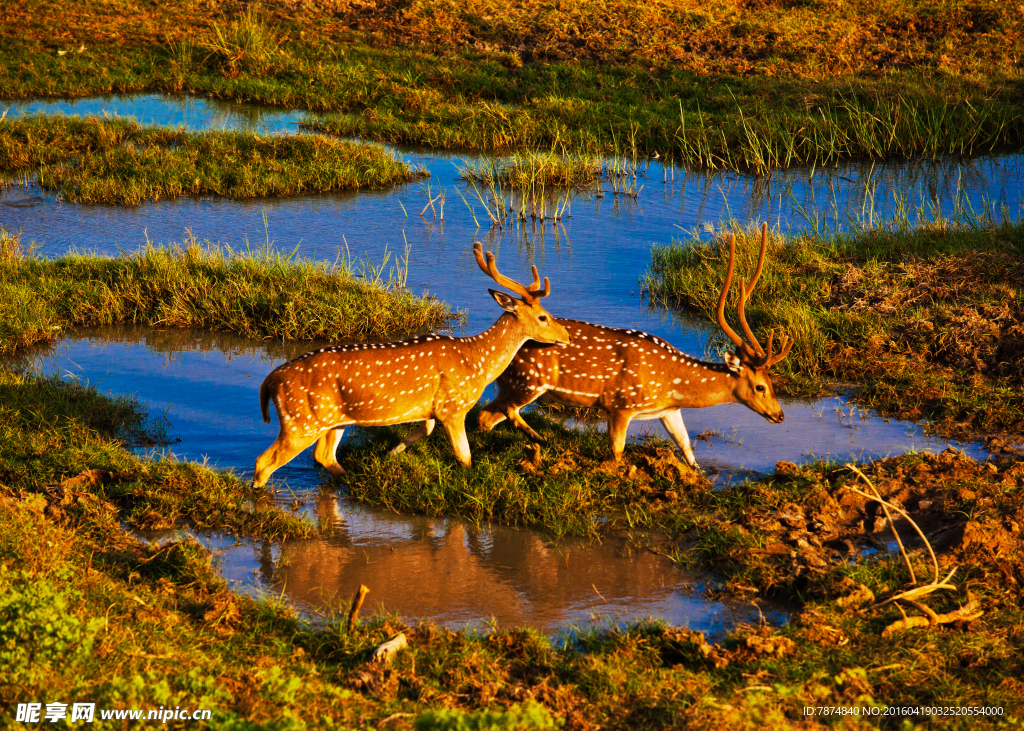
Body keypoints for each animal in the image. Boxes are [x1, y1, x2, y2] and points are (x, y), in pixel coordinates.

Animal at [248, 241, 569, 487]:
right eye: (543, 317)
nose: (565, 335)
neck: (478, 362)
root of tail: (270, 381)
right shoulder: (453, 407)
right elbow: (464, 457)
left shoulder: (432, 408)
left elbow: (425, 430)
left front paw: (392, 452)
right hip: (301, 421)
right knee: (264, 462)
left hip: (333, 419)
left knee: (323, 456)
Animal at [475, 222, 794, 466]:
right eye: (760, 386)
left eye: (772, 383)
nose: (779, 415)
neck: (671, 383)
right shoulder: (621, 405)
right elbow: (617, 451)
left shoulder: (668, 410)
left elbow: (688, 448)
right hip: (528, 382)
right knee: (491, 414)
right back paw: (535, 442)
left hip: (512, 385)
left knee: (484, 416)